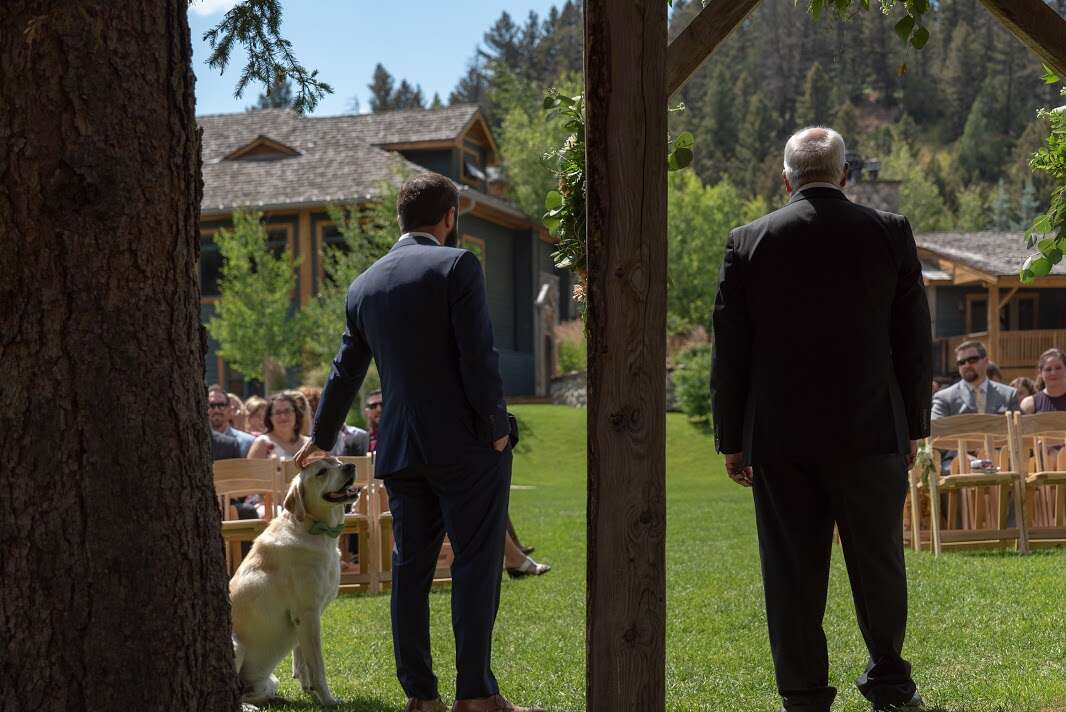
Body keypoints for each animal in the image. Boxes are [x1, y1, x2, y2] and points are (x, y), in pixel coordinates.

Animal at [227, 456, 360, 707]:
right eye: (321, 472)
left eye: (337, 460)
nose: (350, 466)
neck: (314, 530)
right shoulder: (307, 614)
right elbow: (317, 665)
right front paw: (328, 699)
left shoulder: (304, 619)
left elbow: (302, 658)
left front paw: (310, 691)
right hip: (236, 646)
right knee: (238, 695)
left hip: (271, 680)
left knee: (251, 692)